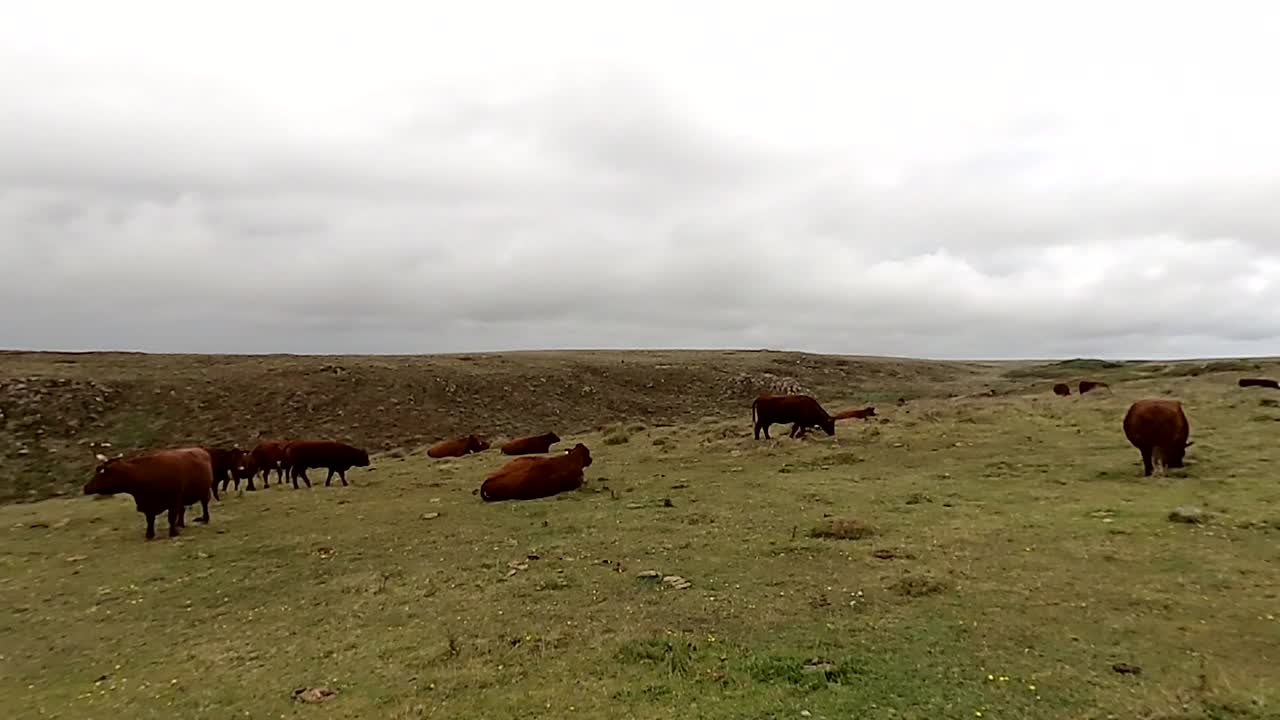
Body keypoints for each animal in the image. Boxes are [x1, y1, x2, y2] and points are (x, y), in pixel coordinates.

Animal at [82, 447, 216, 540]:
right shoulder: (148, 505)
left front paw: (173, 533)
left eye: (101, 473)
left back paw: (205, 519)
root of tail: (200, 450)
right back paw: (180, 524)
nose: (85, 487)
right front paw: (150, 534)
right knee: (182, 510)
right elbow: (150, 519)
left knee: (204, 504)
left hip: (204, 491)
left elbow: (171, 518)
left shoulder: (173, 500)